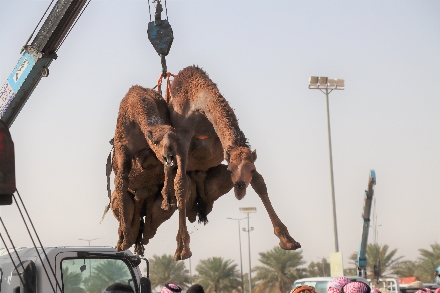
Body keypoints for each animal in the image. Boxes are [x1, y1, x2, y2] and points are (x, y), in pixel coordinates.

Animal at [110, 85, 179, 251]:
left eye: (177, 140)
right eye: (157, 142)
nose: (170, 155)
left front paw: (168, 200)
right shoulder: (122, 146)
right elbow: (121, 180)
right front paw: (125, 239)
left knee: (150, 225)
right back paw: (124, 240)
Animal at [167, 65, 300, 258]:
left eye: (251, 169)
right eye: (230, 170)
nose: (239, 188)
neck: (198, 104)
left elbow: (260, 182)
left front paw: (288, 240)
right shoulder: (182, 137)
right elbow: (181, 183)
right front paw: (182, 249)